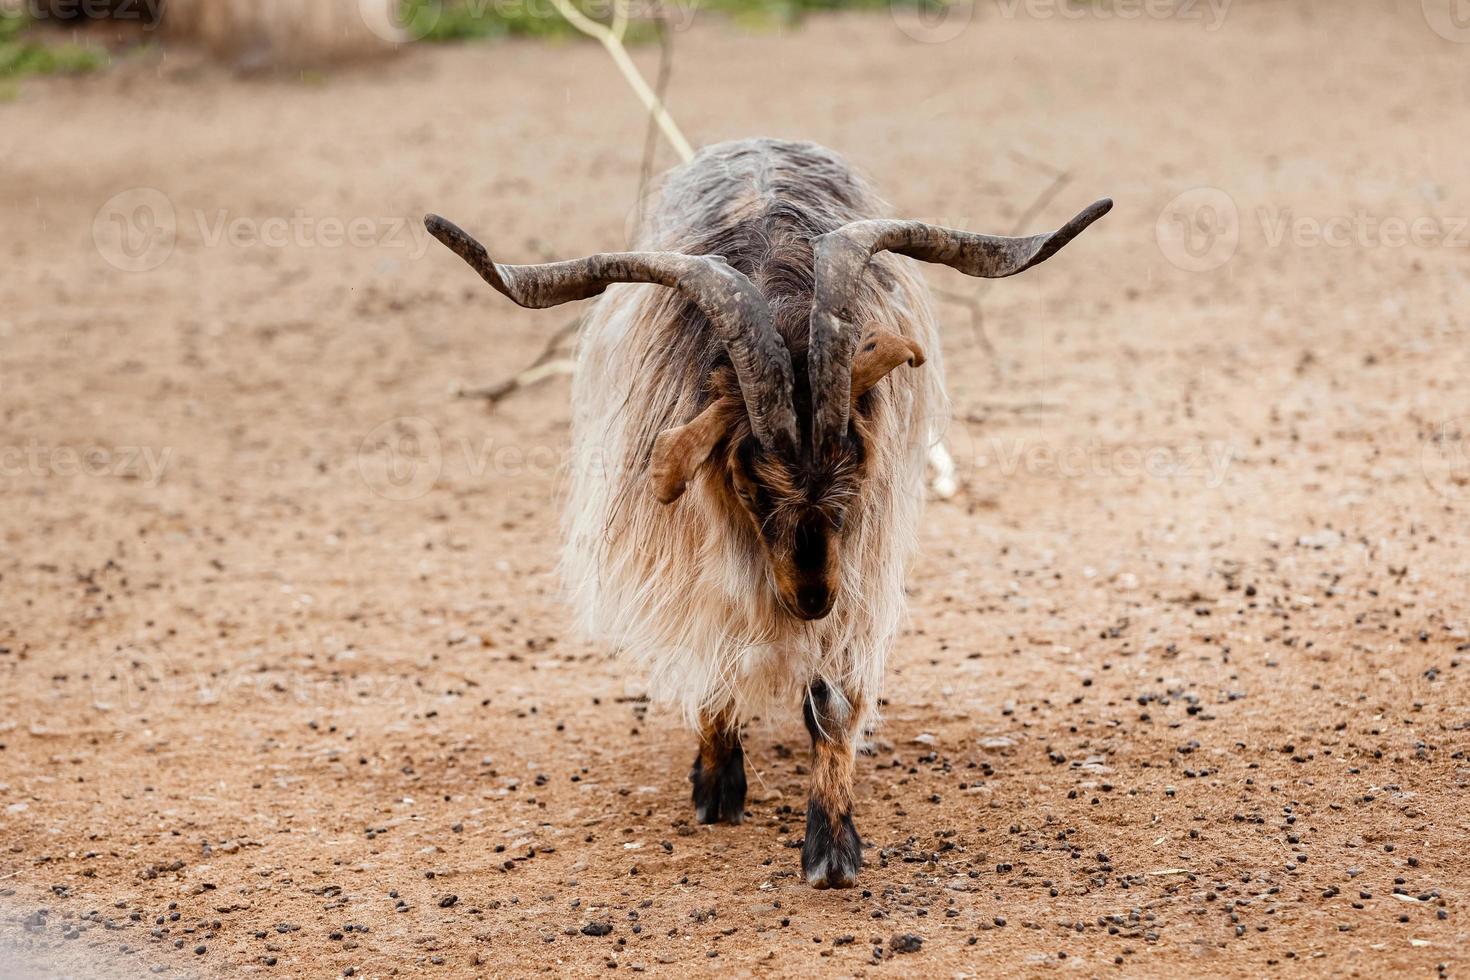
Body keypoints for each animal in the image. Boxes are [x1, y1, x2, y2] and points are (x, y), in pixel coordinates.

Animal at [429, 139, 1111, 887]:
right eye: (751, 481)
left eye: (854, 467)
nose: (810, 599)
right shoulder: (698, 555)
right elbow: (714, 656)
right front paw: (717, 785)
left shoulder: (860, 564)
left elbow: (833, 702)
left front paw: (832, 848)